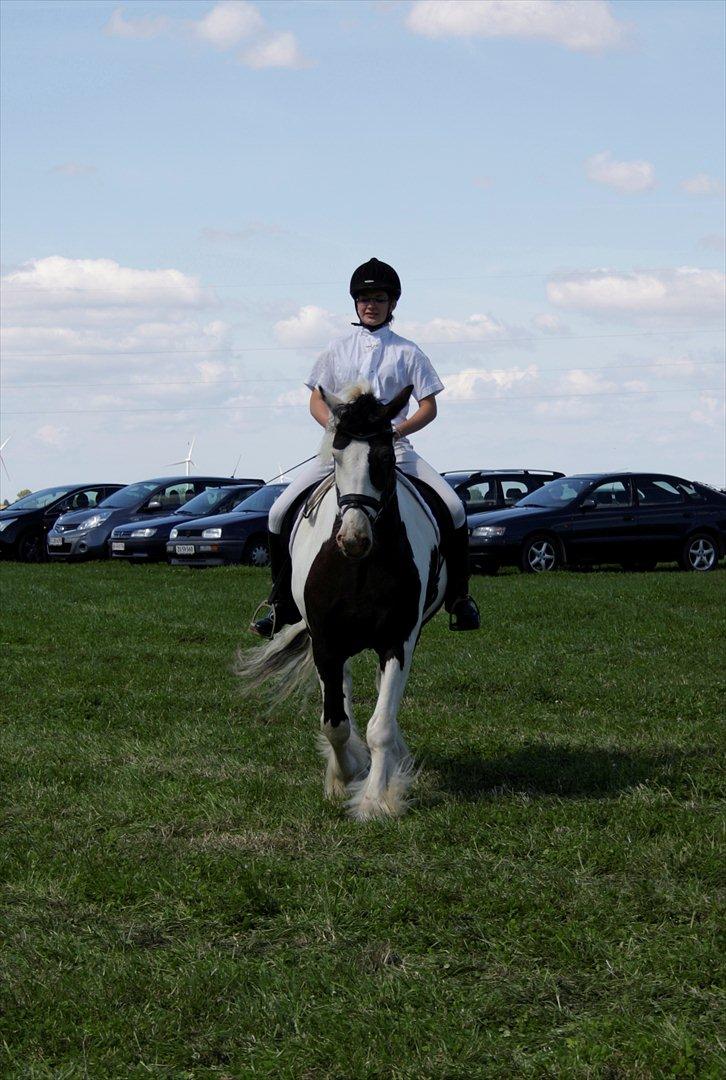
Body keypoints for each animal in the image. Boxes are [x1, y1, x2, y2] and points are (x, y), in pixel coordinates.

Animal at [235, 384, 445, 820]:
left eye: (384, 458)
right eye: (336, 456)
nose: (353, 538)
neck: (358, 567)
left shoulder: (398, 639)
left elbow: (381, 724)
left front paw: (375, 799)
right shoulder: (327, 643)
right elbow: (335, 722)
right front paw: (344, 775)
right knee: (342, 695)